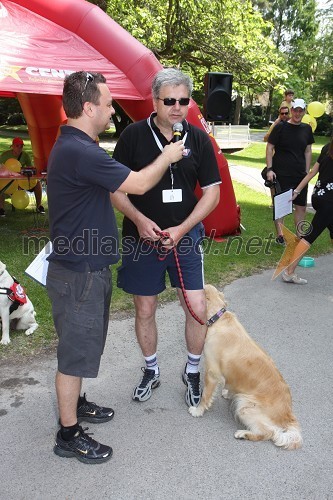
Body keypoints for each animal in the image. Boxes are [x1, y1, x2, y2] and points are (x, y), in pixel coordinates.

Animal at [188, 284, 302, 452]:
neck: (218, 318)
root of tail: (288, 414)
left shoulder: (212, 372)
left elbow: (205, 396)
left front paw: (197, 410)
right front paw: (227, 392)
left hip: (245, 405)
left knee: (268, 433)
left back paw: (243, 434)